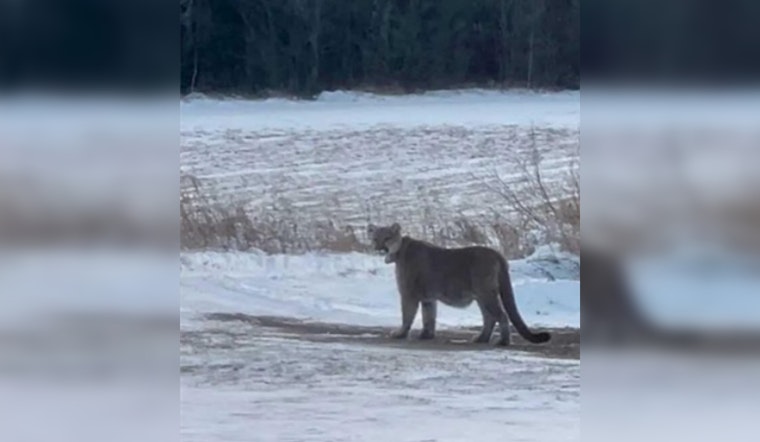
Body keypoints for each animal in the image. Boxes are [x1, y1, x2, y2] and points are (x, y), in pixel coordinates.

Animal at [367, 223, 550, 345]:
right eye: (375, 238)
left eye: (387, 238)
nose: (378, 248)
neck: (399, 252)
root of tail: (497, 254)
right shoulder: (428, 298)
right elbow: (429, 317)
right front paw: (426, 335)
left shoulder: (408, 293)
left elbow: (407, 316)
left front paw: (399, 334)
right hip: (481, 296)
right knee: (489, 317)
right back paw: (481, 338)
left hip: (486, 293)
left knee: (501, 315)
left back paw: (502, 342)